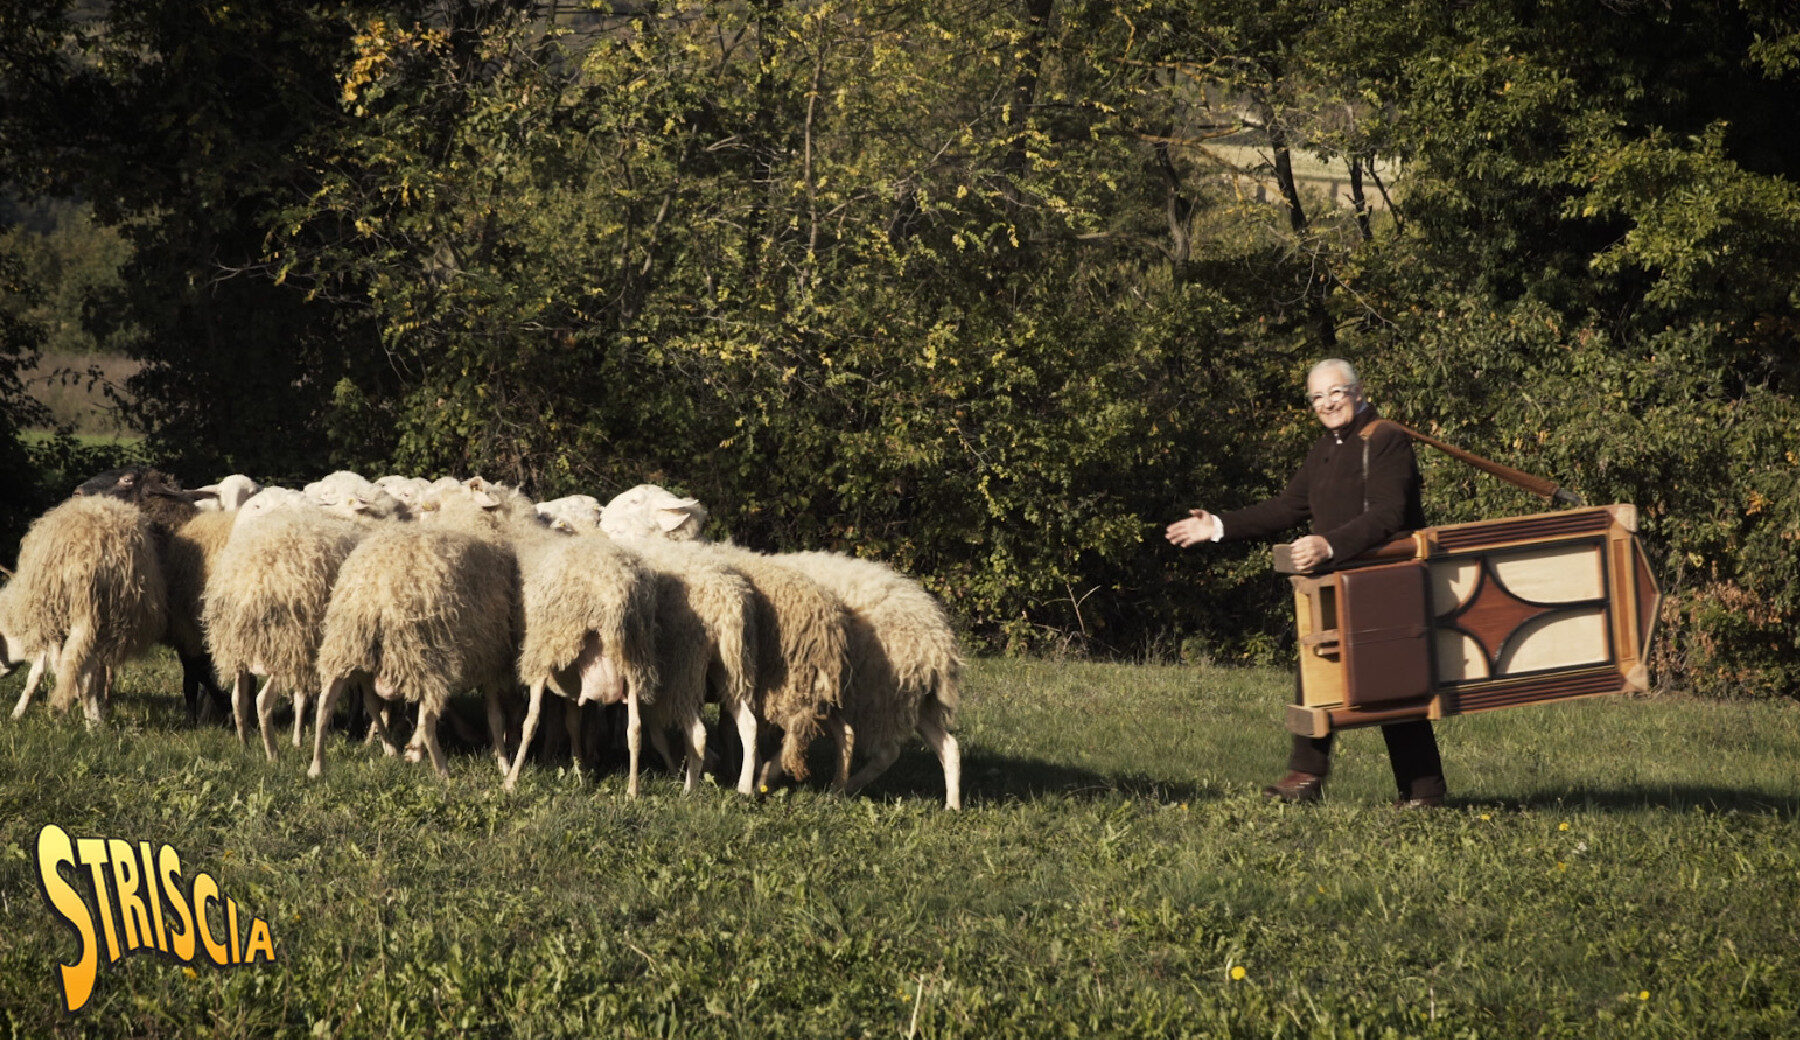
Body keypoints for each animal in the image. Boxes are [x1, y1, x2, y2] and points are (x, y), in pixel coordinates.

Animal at [204, 511, 365, 762]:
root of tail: (246, 584)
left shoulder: (308, 655)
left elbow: (301, 697)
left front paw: (298, 739)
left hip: (239, 647)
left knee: (237, 697)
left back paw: (244, 745)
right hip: (282, 649)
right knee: (262, 701)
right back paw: (273, 755)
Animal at [781, 546, 964, 806]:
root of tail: (938, 642)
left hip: (877, 697)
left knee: (886, 751)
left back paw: (843, 788)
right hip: (911, 701)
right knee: (948, 747)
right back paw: (952, 805)